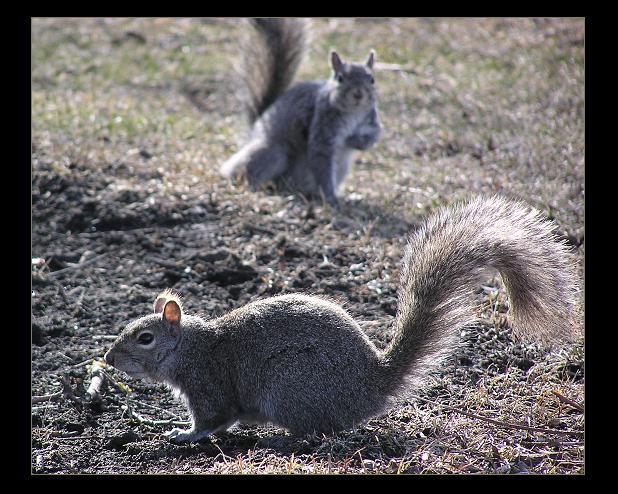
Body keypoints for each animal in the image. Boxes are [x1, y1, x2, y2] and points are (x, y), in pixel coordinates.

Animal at [103, 195, 580, 442]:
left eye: (144, 337)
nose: (108, 360)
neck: (192, 347)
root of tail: (370, 387)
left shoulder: (210, 385)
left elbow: (213, 419)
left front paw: (182, 435)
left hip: (289, 384)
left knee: (317, 430)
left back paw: (280, 437)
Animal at [217, 18, 380, 206]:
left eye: (372, 79)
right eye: (340, 78)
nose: (358, 94)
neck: (353, 112)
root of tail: (254, 130)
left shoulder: (372, 121)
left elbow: (374, 136)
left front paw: (355, 141)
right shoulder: (322, 124)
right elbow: (321, 157)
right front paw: (330, 198)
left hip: (341, 168)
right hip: (274, 151)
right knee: (245, 171)